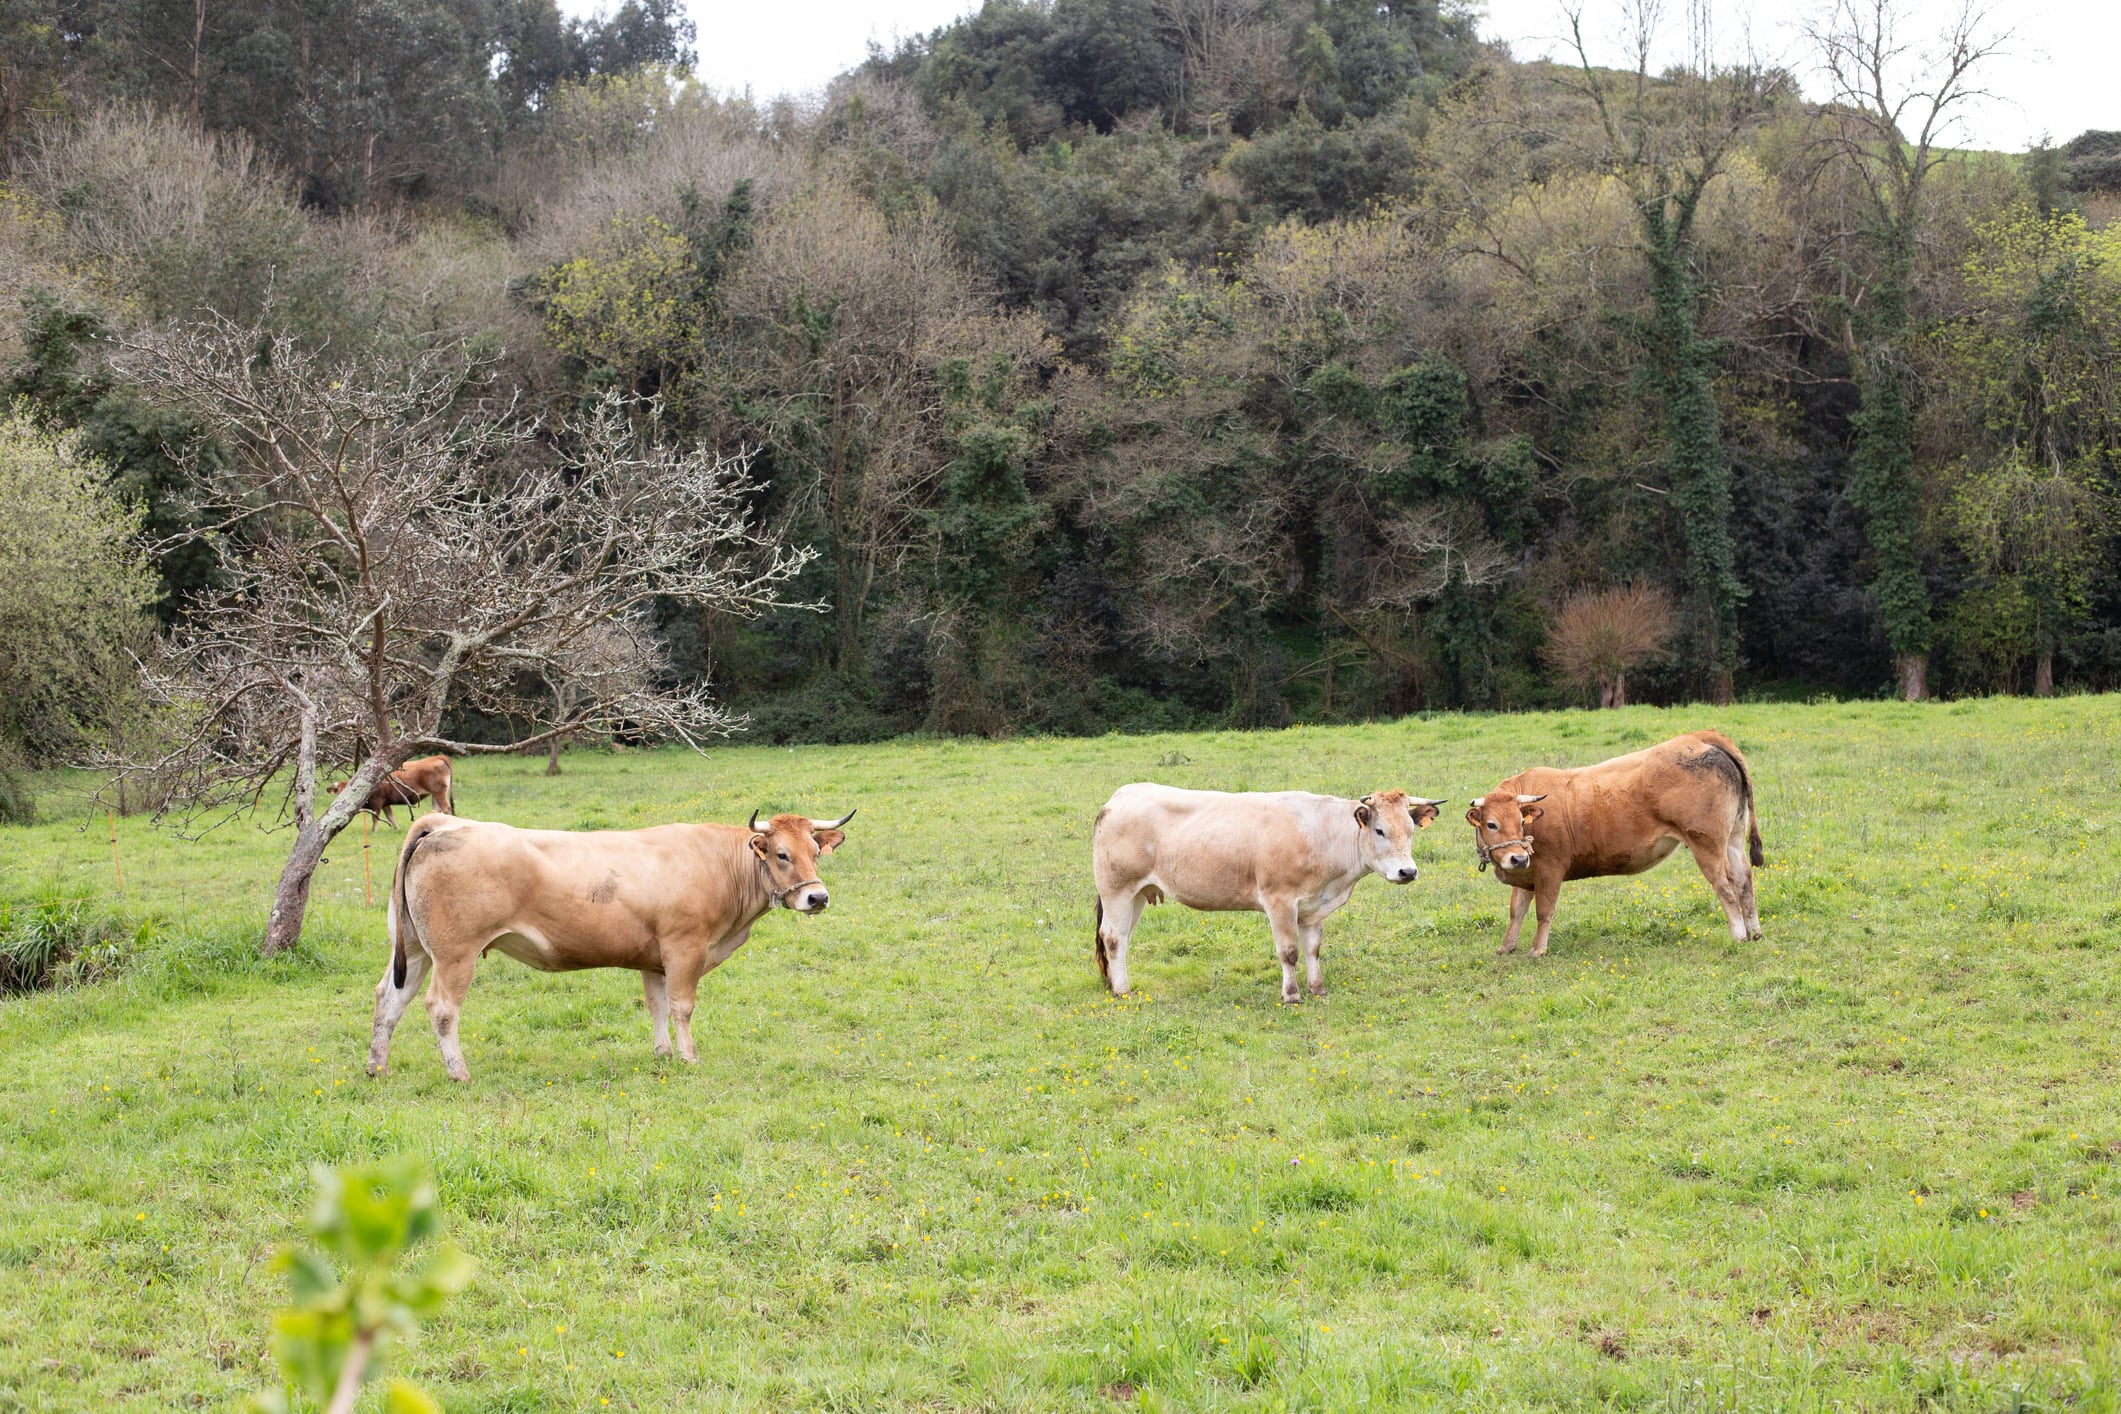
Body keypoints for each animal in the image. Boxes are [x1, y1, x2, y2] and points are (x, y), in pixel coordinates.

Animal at [366, 805, 852, 1085]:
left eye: (816, 851)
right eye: (782, 854)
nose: (818, 898)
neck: (718, 863)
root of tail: (443, 823)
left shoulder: (654, 959)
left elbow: (657, 1007)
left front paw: (663, 1055)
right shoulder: (685, 948)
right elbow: (682, 1007)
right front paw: (689, 1058)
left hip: (414, 949)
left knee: (389, 1000)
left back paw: (376, 1068)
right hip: (455, 955)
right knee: (441, 1009)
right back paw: (459, 1074)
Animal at [1094, 784, 1442, 1004]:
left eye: (1411, 830)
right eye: (1380, 830)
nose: (1408, 872)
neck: (1321, 836)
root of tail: (1120, 796)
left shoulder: (1313, 908)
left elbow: (1313, 950)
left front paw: (1318, 989)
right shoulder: (1280, 901)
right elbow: (1289, 952)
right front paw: (1292, 995)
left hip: (1138, 894)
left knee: (1123, 937)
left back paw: (1115, 983)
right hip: (1117, 889)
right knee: (1113, 937)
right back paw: (1123, 990)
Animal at [1467, 729, 1764, 962]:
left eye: (1520, 820)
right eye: (1491, 824)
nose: (1517, 858)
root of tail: (1698, 738)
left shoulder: (1550, 870)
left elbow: (1544, 911)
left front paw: (1538, 950)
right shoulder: (1526, 873)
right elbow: (1516, 911)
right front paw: (1506, 947)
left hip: (1707, 844)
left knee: (1726, 886)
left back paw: (1739, 935)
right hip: (1733, 838)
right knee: (1744, 881)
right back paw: (1755, 932)